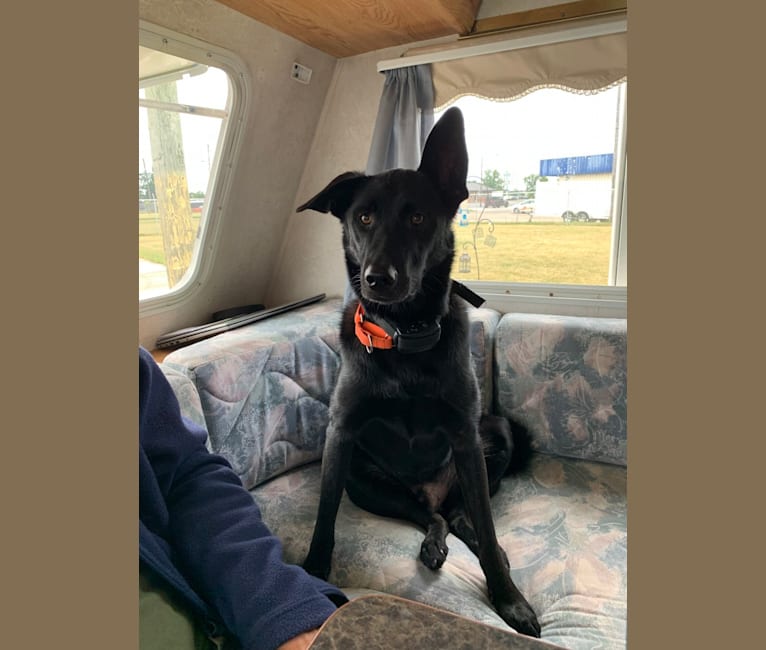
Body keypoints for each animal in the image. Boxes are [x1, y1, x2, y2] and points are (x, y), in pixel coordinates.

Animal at [296, 107, 544, 636]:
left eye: (417, 217)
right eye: (363, 217)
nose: (377, 279)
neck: (405, 336)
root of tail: (431, 491)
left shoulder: (467, 438)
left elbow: (487, 527)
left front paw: (509, 601)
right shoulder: (341, 435)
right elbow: (325, 515)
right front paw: (313, 569)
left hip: (498, 437)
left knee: (466, 517)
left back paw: (492, 553)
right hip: (367, 482)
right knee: (435, 518)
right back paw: (434, 542)